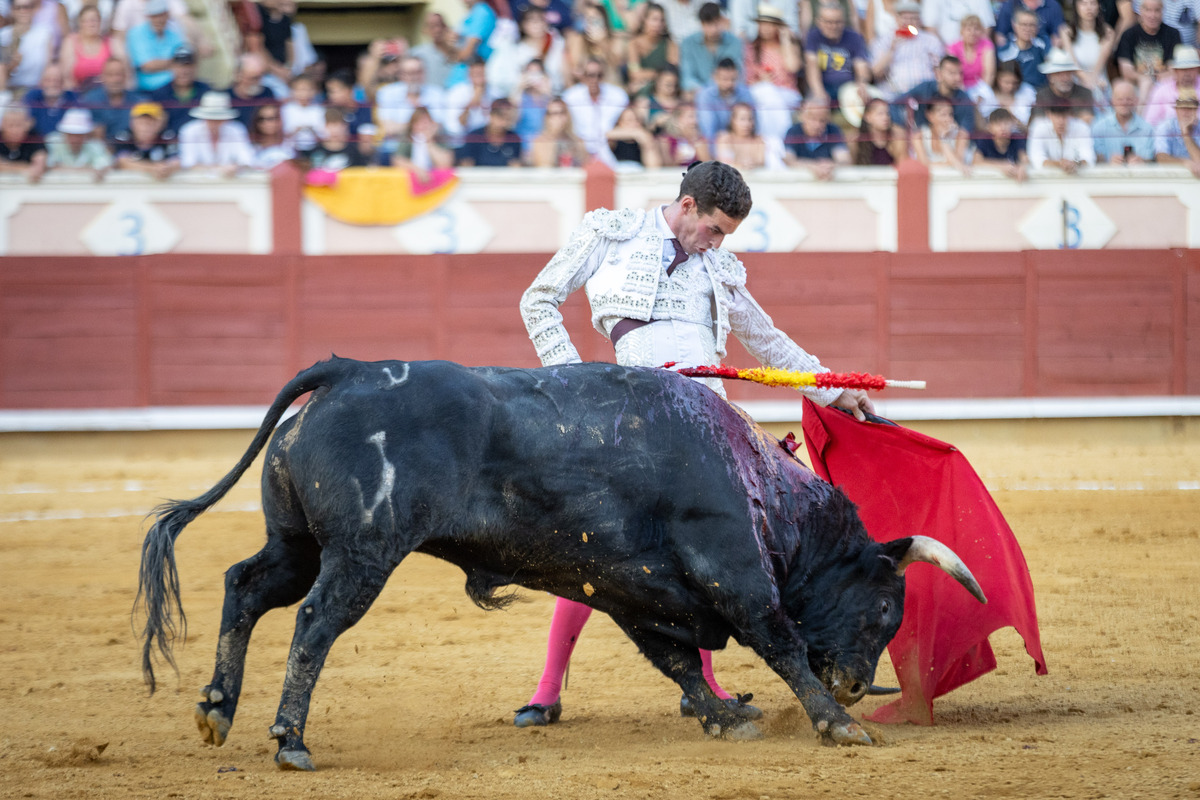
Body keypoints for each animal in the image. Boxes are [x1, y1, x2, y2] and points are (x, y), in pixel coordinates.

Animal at [138, 359, 984, 772]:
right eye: (885, 608)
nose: (856, 683)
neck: (760, 487)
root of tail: (345, 373)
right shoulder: (732, 572)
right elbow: (776, 644)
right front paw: (839, 727)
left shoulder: (634, 592)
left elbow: (677, 661)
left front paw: (725, 716)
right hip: (362, 552)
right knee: (313, 622)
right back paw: (290, 739)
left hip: (297, 542)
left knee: (247, 586)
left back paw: (217, 708)